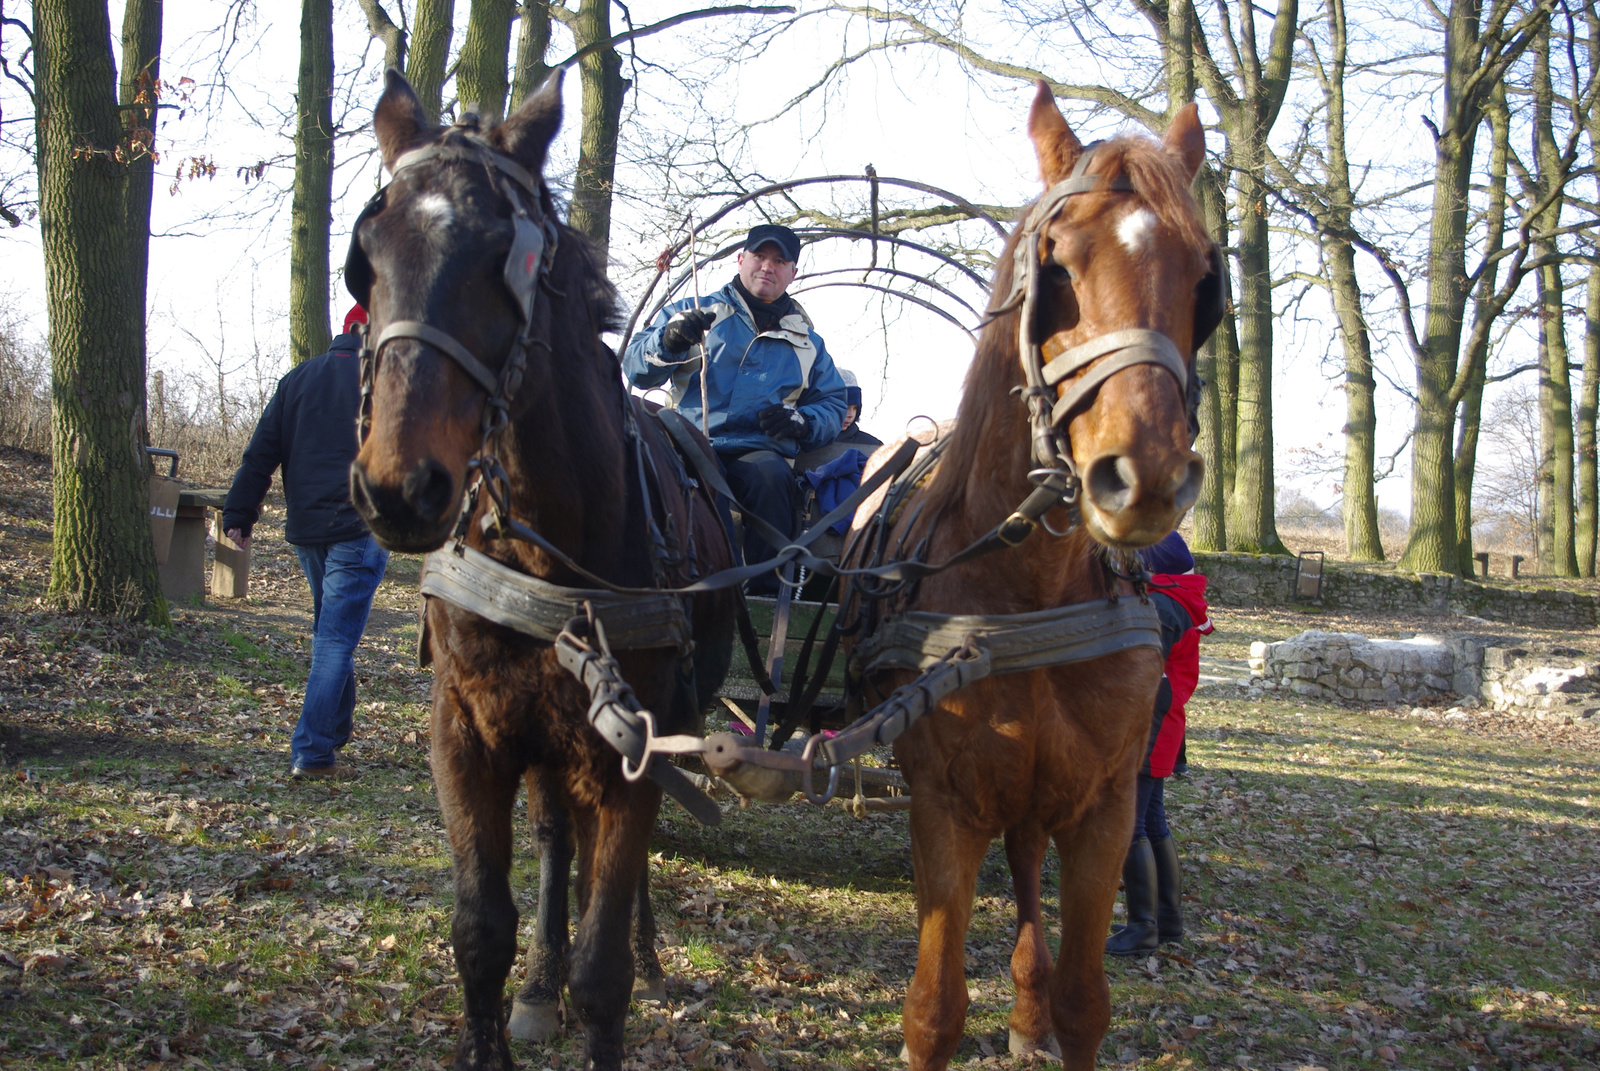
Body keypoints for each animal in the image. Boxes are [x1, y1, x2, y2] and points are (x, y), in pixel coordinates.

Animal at [350, 70, 736, 1062]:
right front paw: (519, 990)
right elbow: (482, 932)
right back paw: (539, 982)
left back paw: (644, 944)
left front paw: (608, 970)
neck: (544, 550)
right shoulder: (466, 732)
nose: (401, 486)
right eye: (365, 256)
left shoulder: (634, 739)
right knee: (561, 832)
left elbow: (606, 971)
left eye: (508, 256)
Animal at [851, 83, 1209, 1069]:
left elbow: (1086, 1001)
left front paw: (1047, 1010)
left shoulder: (1104, 809)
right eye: (1057, 270)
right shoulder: (943, 804)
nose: (1145, 476)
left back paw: (1025, 1009)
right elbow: (932, 1010)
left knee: (1025, 872)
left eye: (1203, 276)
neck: (1030, 588)